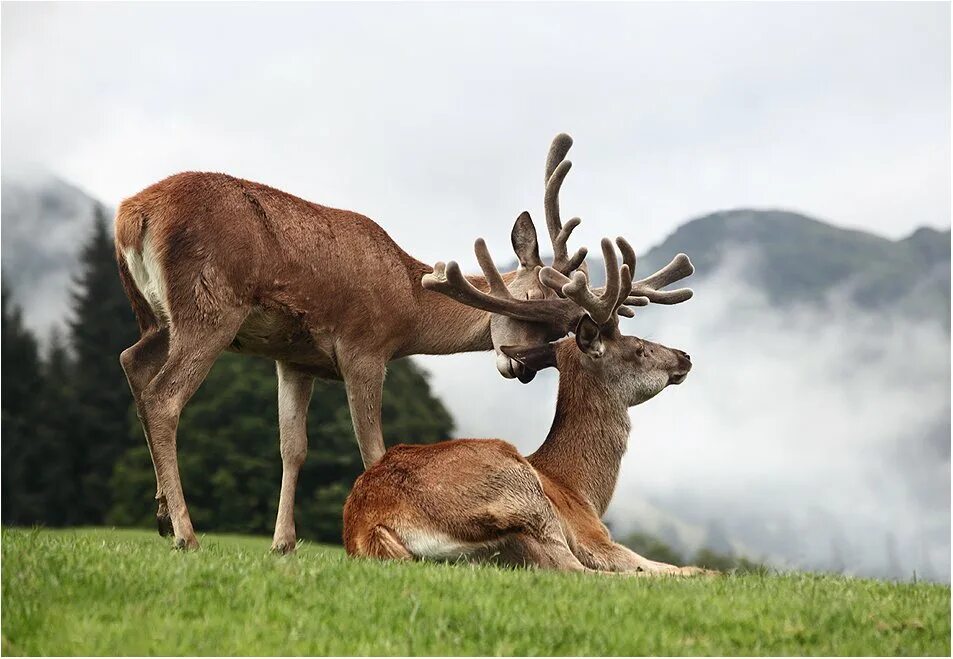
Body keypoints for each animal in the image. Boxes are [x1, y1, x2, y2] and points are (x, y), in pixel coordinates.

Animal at [344, 235, 708, 576]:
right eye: (639, 349)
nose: (685, 356)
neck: (581, 492)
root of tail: (369, 526)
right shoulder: (592, 536)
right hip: (522, 494)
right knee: (573, 569)